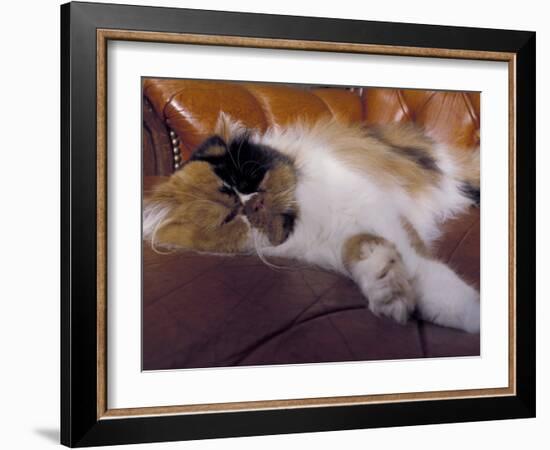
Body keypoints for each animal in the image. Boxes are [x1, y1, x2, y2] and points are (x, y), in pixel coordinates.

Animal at [143, 112, 484, 334]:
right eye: (229, 216)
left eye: (252, 179)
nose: (254, 202)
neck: (310, 215)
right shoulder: (341, 242)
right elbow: (367, 253)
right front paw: (389, 292)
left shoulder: (381, 213)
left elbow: (425, 270)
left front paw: (468, 314)